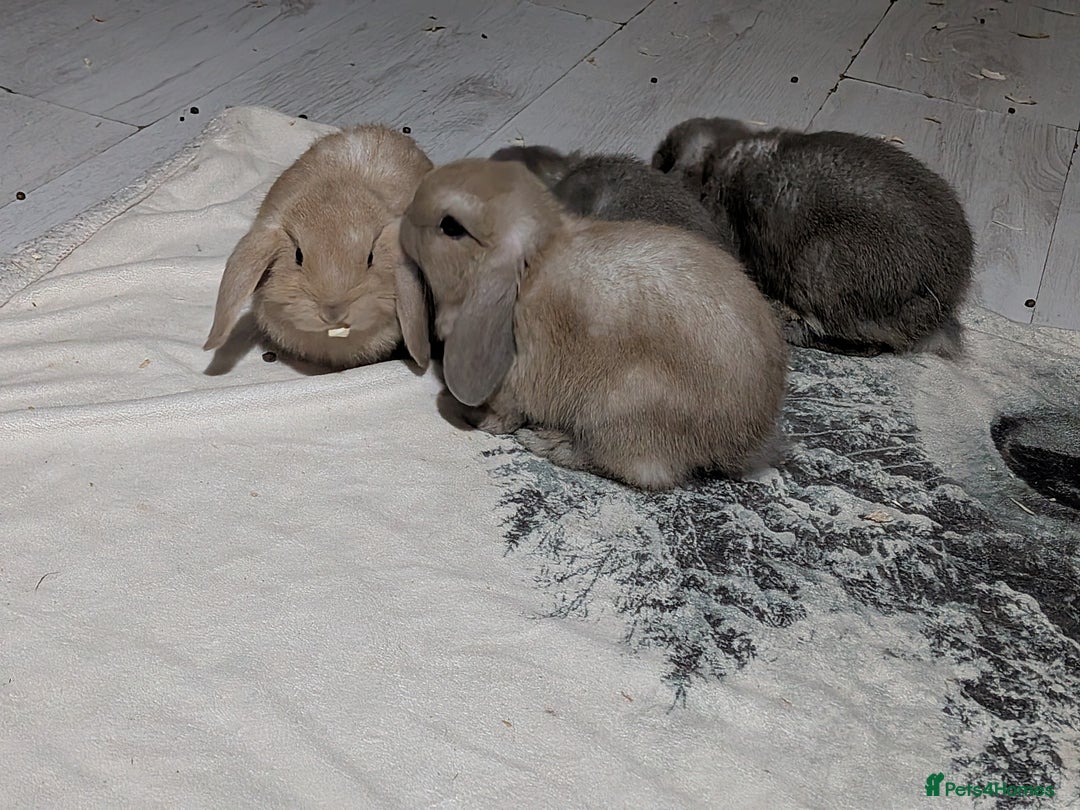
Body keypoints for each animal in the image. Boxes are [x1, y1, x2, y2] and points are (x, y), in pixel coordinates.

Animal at [393, 158, 788, 491]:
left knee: (638, 470)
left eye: (450, 226)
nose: (405, 217)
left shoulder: (512, 381)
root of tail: (749, 437)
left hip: (621, 407)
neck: (528, 270)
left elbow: (504, 417)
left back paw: (548, 443)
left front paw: (474, 418)